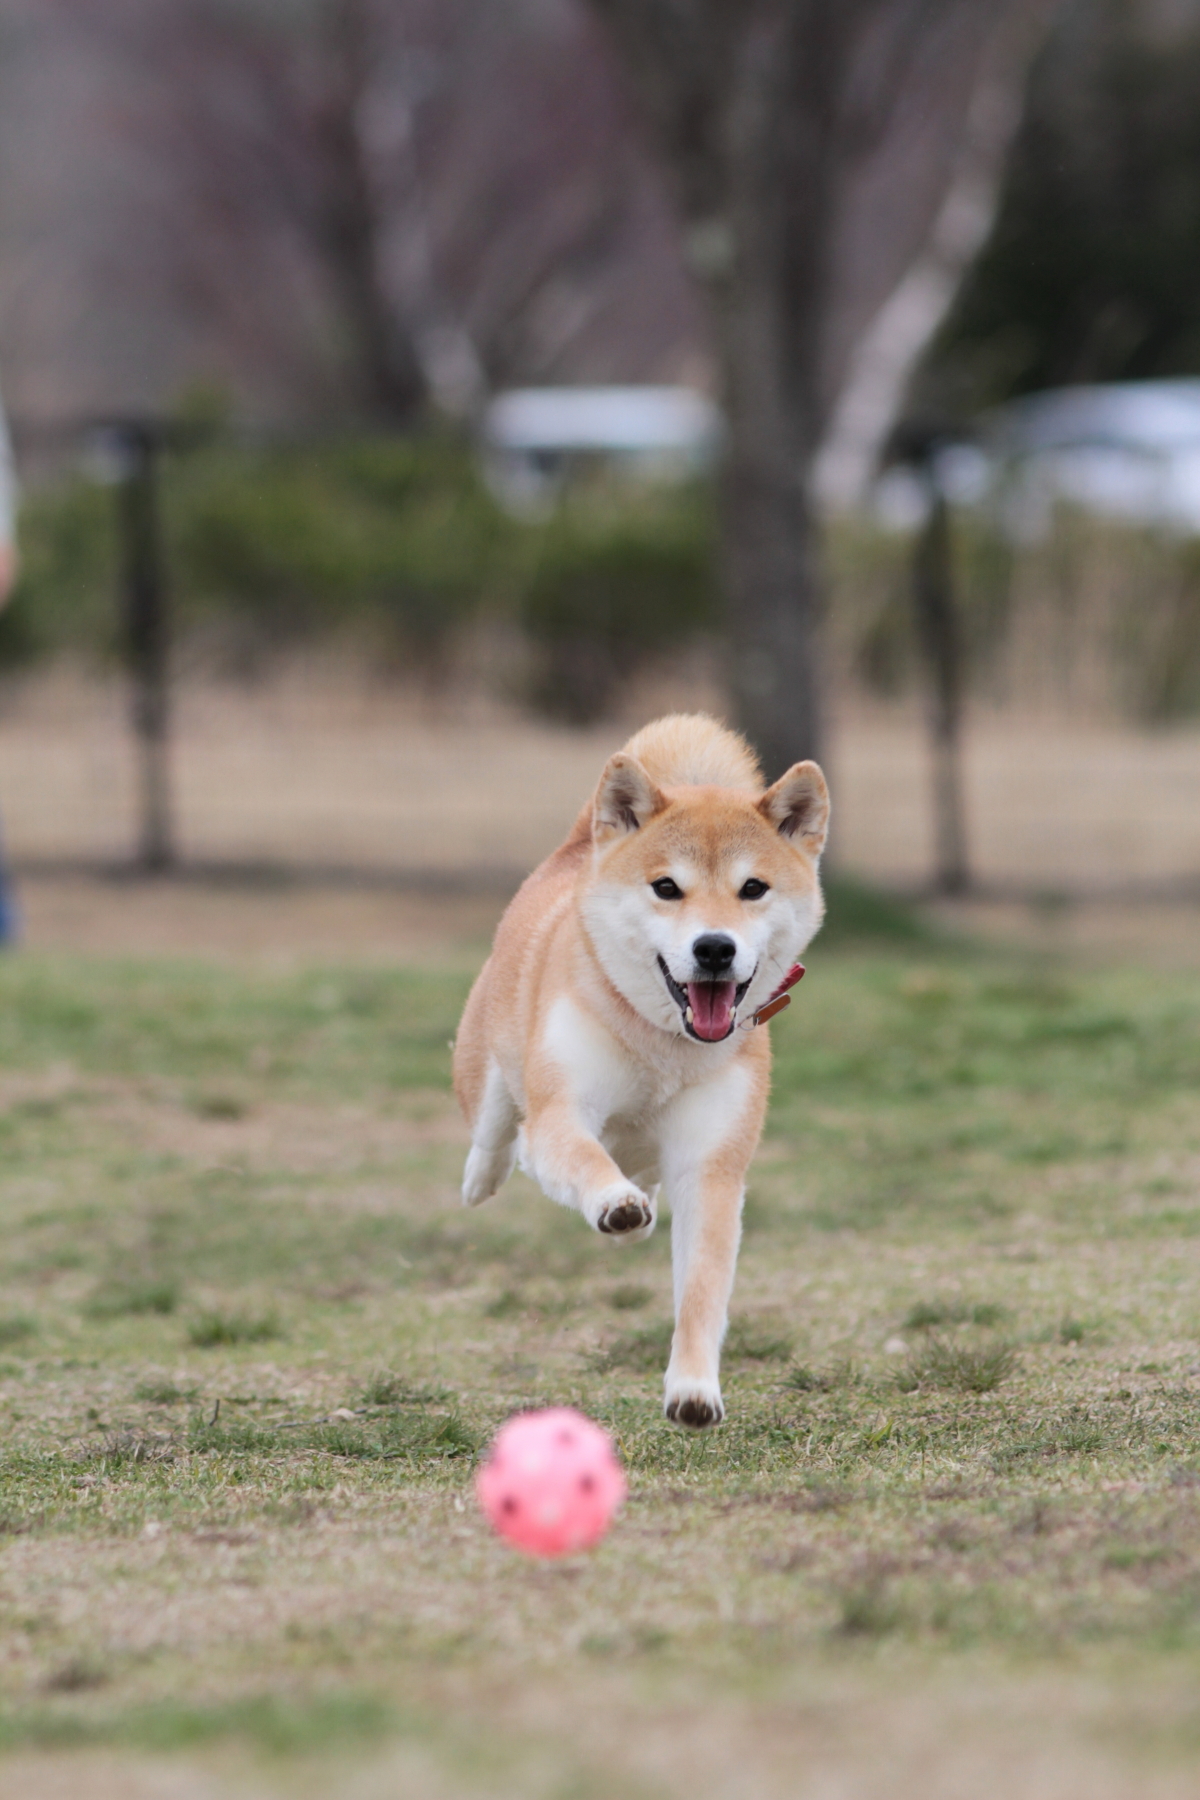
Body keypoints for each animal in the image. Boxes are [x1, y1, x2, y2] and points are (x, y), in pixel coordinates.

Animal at [455, 709, 831, 1425]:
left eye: (752, 888)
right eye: (666, 888)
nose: (714, 948)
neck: (663, 1044)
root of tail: (574, 853)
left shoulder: (710, 1168)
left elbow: (702, 1290)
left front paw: (693, 1387)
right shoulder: (562, 1112)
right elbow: (581, 1156)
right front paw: (613, 1202)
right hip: (489, 1068)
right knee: (496, 1133)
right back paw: (484, 1178)